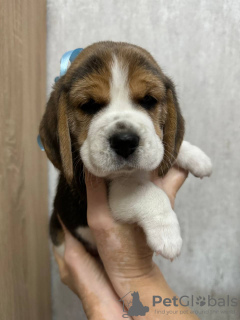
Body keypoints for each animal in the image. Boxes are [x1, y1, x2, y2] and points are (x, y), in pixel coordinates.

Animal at [39, 41, 212, 260]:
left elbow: (164, 145)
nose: (125, 141)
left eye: (148, 100)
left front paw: (197, 157)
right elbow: (144, 190)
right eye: (89, 105)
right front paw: (167, 233)